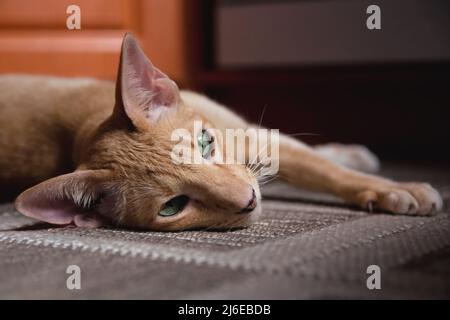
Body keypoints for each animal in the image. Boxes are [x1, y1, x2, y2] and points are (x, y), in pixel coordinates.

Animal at [0, 33, 442, 231]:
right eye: (173, 206)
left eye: (205, 143)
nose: (249, 200)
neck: (82, 127)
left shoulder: (250, 135)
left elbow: (321, 169)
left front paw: (392, 187)